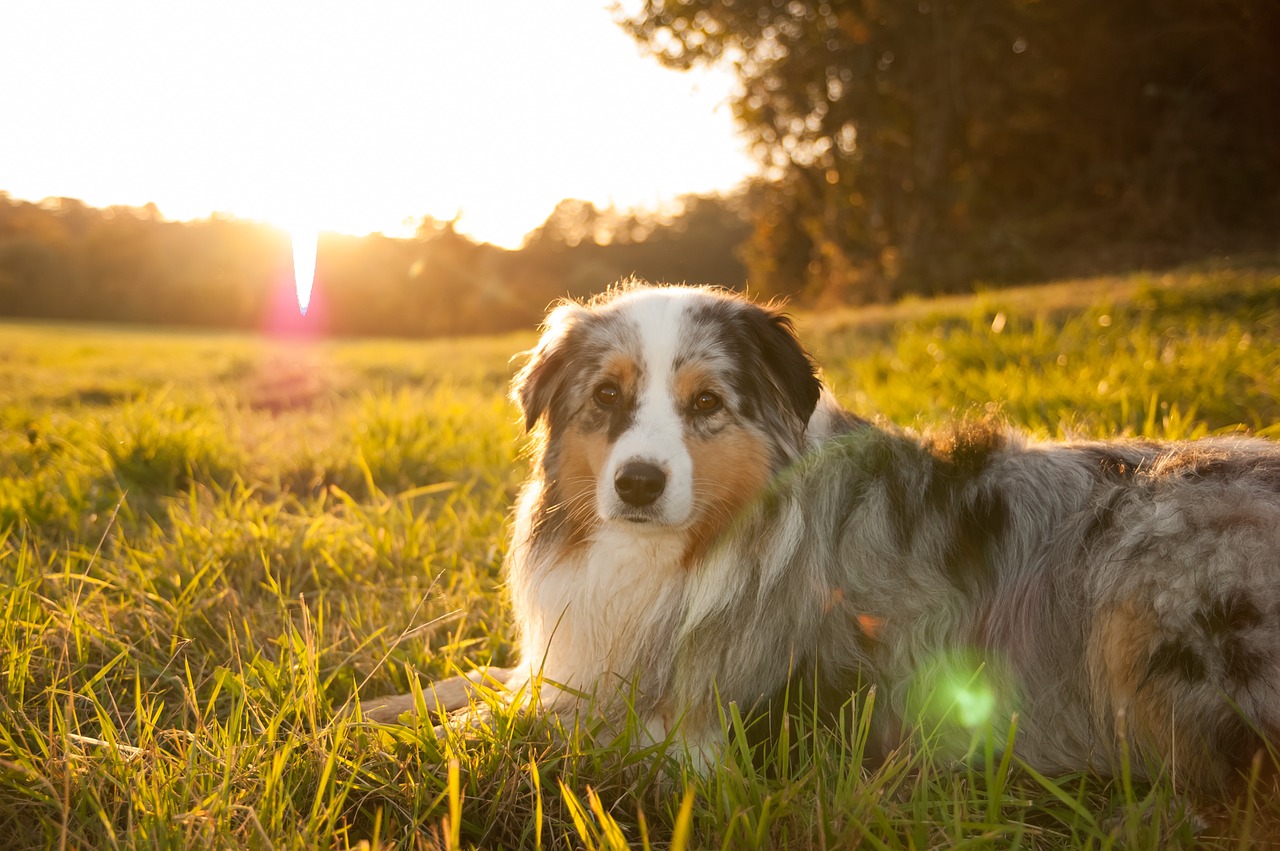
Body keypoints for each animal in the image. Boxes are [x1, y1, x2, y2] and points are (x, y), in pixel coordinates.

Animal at [363, 281, 1280, 808]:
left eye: (706, 402)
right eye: (608, 395)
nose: (639, 484)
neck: (682, 552)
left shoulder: (712, 735)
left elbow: (519, 725)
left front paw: (389, 748)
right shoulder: (573, 659)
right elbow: (473, 682)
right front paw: (364, 712)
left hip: (1142, 576)